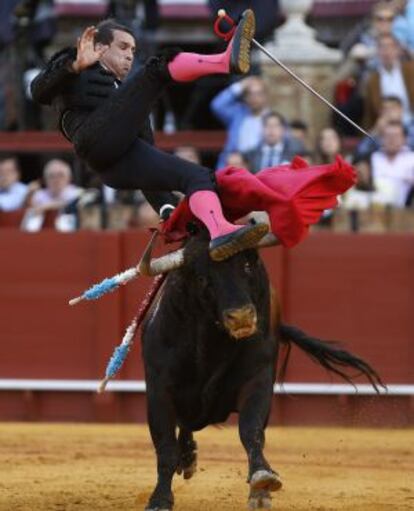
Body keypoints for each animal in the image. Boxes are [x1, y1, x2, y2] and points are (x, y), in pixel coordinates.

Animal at [140, 233, 382, 511]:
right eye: (202, 278)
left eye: (247, 265)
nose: (242, 316)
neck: (213, 344)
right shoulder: (159, 391)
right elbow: (165, 446)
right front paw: (159, 499)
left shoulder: (258, 381)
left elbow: (251, 430)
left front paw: (261, 484)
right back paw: (187, 457)